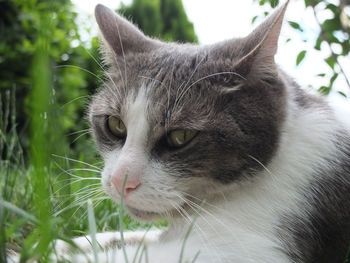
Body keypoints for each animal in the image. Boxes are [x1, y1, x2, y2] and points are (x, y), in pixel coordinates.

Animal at [56, 1, 350, 262]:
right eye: (115, 124)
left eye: (180, 137)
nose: (120, 181)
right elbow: (129, 238)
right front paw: (65, 243)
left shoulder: (250, 246)